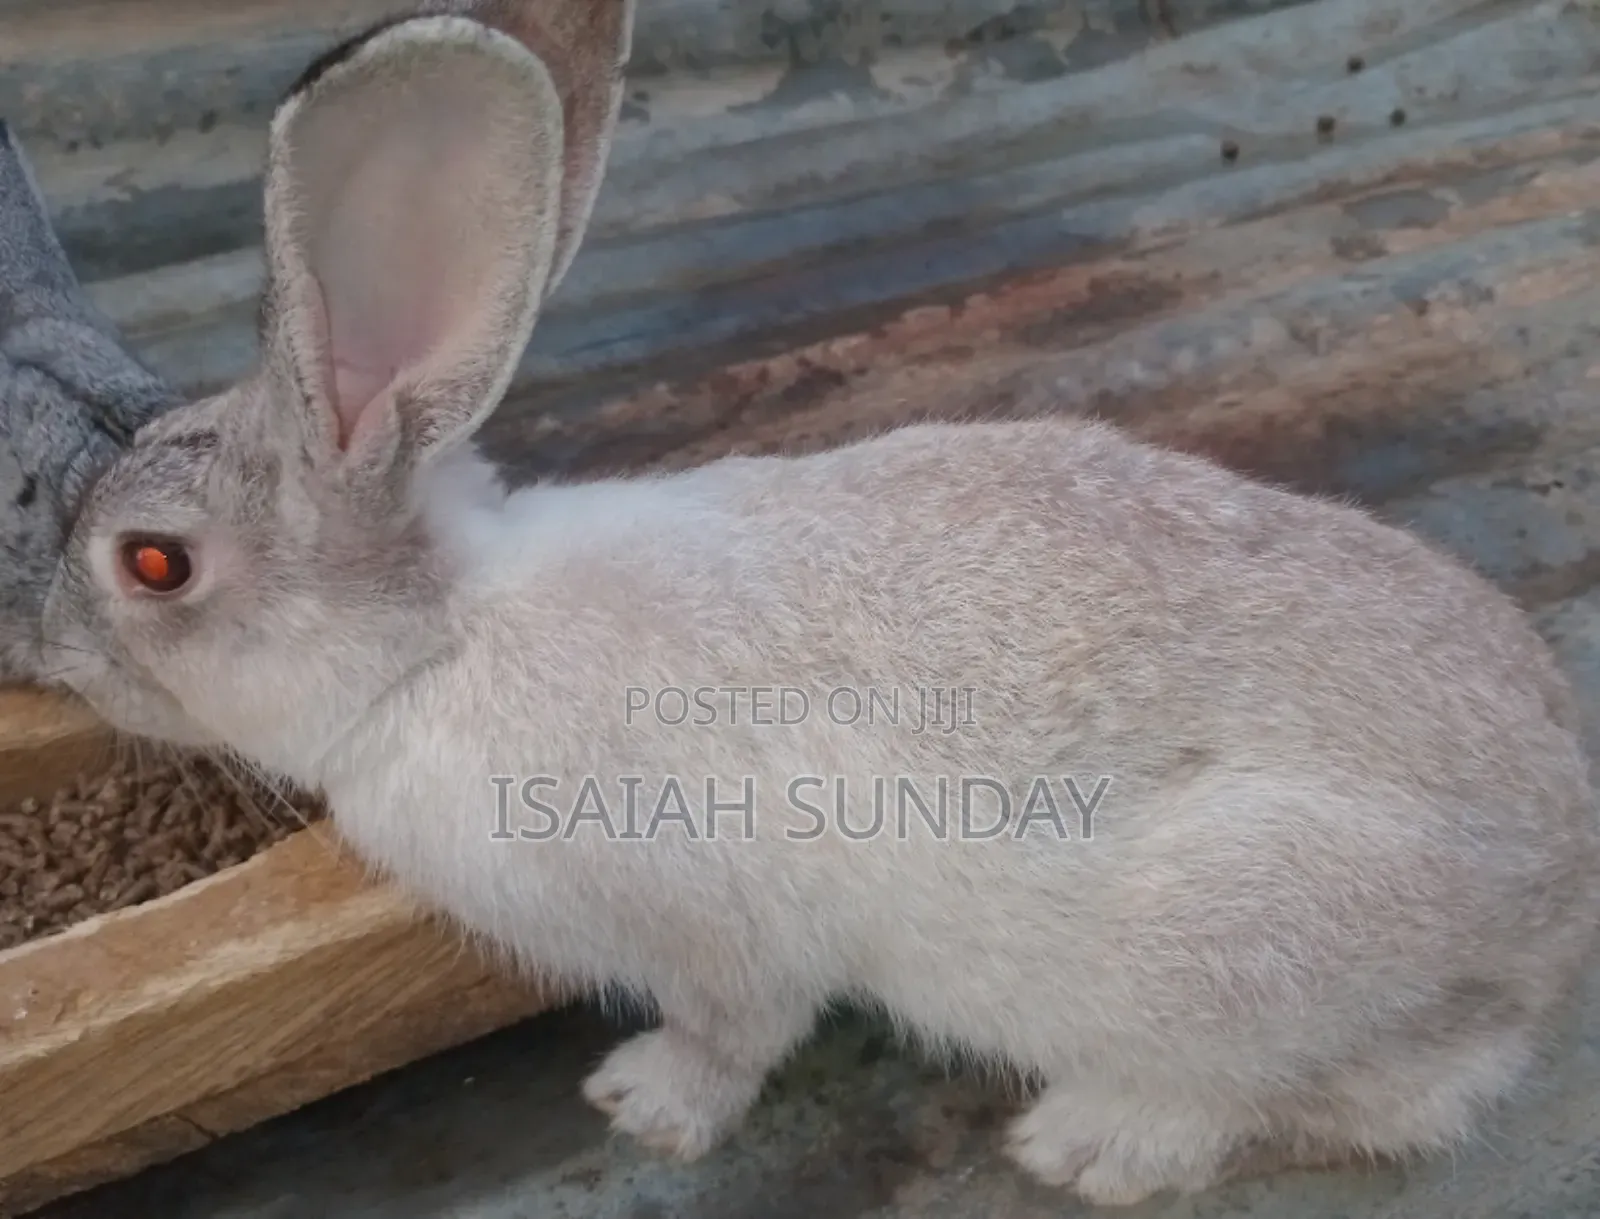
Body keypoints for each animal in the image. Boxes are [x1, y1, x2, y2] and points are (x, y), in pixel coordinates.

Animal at [37, 1, 1600, 1206]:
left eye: (155, 564)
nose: (48, 645)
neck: (433, 639)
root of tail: (1552, 902)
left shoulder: (704, 922)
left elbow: (736, 1029)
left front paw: (643, 1103)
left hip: (1228, 956)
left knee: (1296, 1094)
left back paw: (1087, 1143)